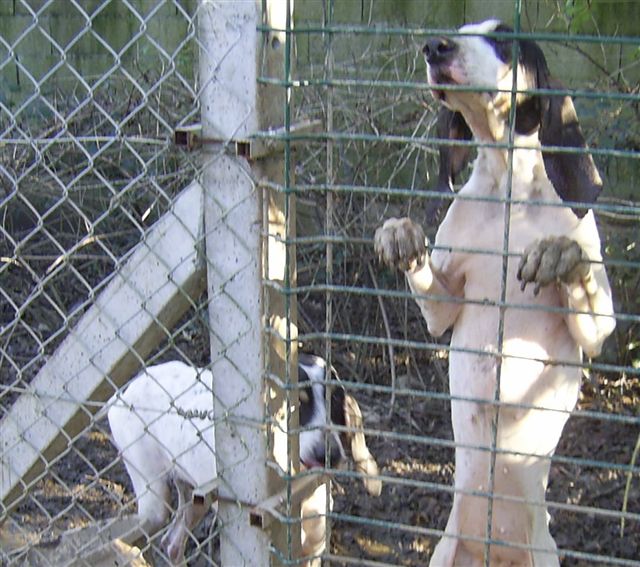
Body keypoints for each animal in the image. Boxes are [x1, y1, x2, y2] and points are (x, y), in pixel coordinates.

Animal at [109, 356, 380, 564]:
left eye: (335, 400)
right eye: (295, 404)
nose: (330, 455)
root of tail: (124, 392)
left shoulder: (312, 552)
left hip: (195, 499)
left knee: (172, 543)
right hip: (154, 501)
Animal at [376, 20, 616, 564]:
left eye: (504, 41)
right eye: (463, 31)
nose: (435, 47)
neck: (509, 191)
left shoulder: (600, 330)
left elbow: (580, 275)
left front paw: (559, 256)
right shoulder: (442, 308)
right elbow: (428, 281)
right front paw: (400, 236)